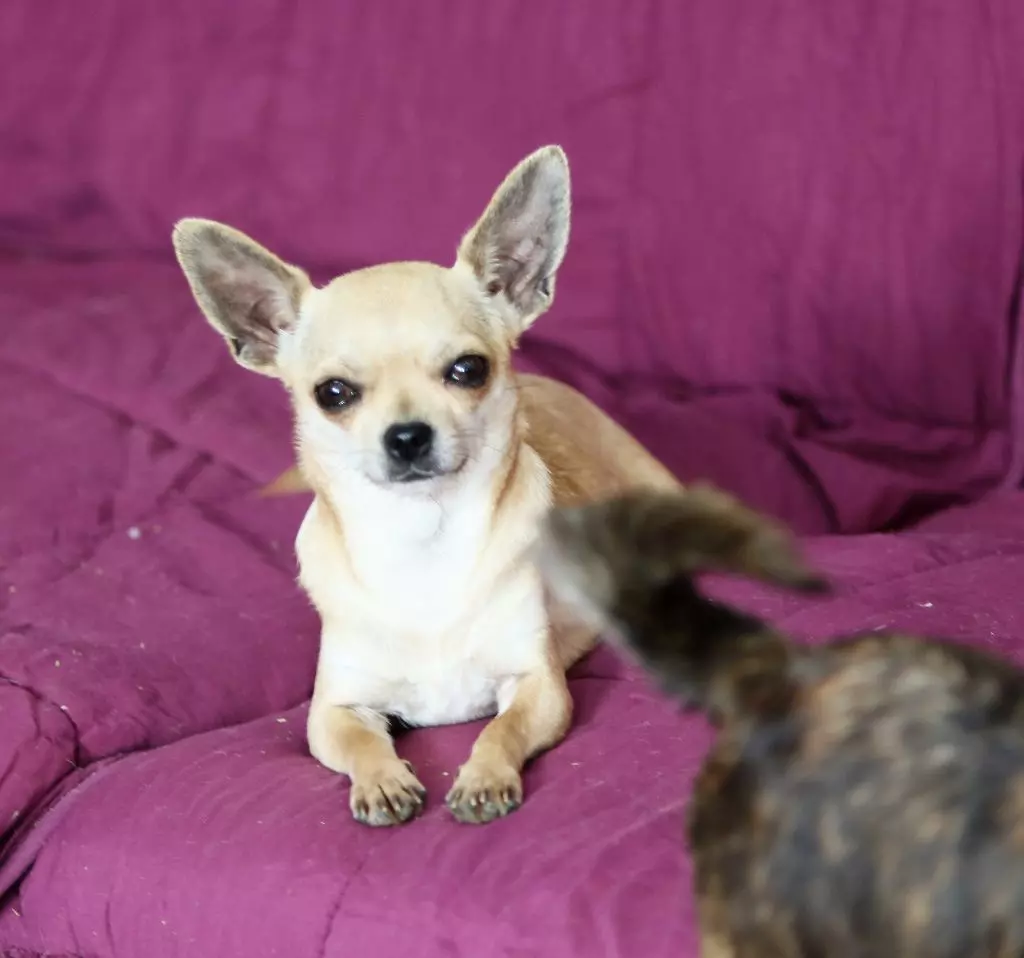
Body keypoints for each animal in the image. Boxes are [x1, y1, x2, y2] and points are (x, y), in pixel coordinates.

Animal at [171, 146, 675, 826]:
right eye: (333, 394)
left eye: (468, 370)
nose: (406, 436)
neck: (422, 540)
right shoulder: (332, 711)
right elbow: (359, 742)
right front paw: (383, 780)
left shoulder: (540, 686)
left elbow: (500, 728)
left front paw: (483, 777)